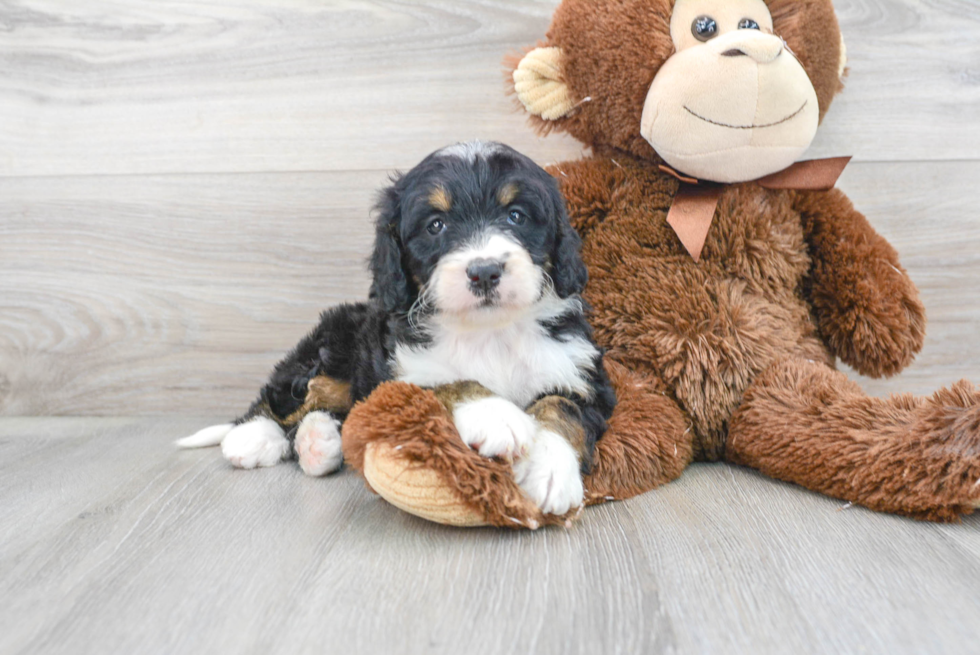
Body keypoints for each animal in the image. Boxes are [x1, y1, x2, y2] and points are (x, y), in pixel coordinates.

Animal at [178, 141, 612, 516]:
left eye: (516, 216)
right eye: (435, 225)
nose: (485, 271)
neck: (489, 330)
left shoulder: (583, 374)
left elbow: (563, 408)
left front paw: (550, 469)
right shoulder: (401, 377)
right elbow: (449, 382)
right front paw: (494, 414)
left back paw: (318, 441)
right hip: (333, 344)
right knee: (288, 394)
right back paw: (254, 436)